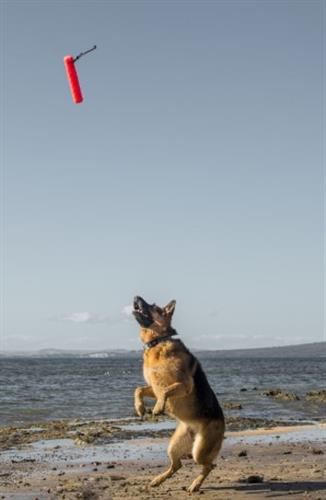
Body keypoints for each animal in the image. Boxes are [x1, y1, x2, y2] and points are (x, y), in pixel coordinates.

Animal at [132, 296, 224, 492]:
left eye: (153, 307)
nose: (136, 297)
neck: (158, 342)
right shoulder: (153, 387)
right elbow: (138, 389)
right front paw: (140, 407)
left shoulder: (184, 385)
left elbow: (166, 391)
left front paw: (158, 407)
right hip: (174, 446)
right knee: (177, 465)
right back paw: (158, 479)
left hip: (199, 451)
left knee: (209, 465)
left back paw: (195, 484)